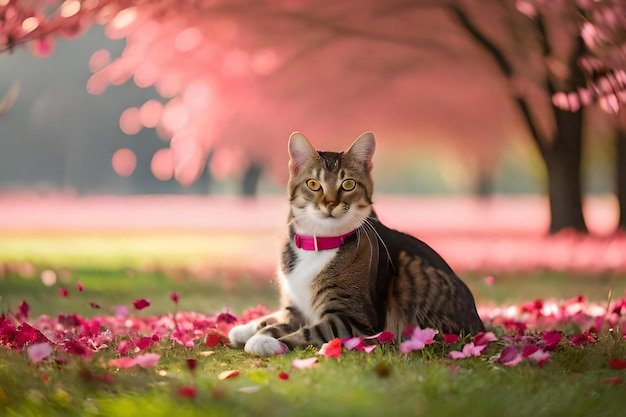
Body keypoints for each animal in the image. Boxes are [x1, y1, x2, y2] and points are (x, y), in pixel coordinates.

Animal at [229, 132, 482, 356]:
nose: (330, 204)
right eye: (313, 184)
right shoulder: (296, 307)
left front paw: (266, 342)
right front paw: (247, 328)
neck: (319, 241)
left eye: (348, 184)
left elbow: (311, 331)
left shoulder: (353, 320)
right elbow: (275, 319)